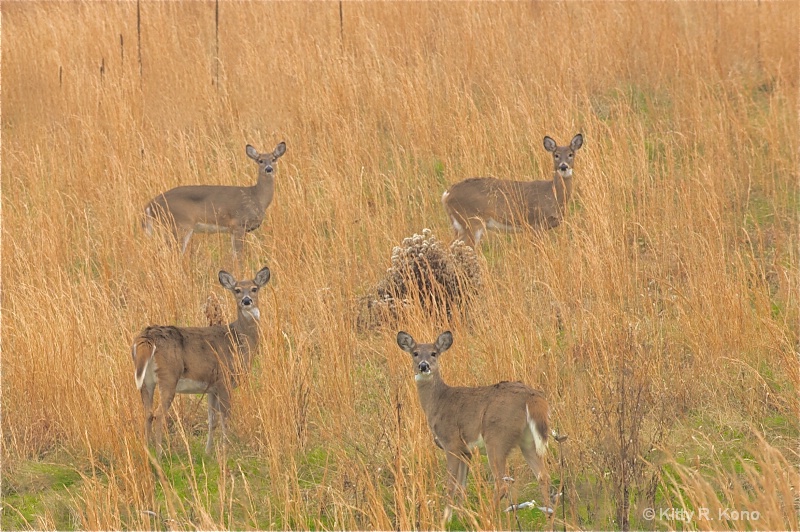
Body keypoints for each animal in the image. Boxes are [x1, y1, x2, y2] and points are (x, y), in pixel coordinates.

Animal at [130, 264, 270, 456]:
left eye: (254, 288)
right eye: (237, 290)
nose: (247, 301)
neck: (239, 339)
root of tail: (147, 337)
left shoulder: (212, 387)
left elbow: (212, 421)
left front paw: (208, 452)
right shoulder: (225, 379)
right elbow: (225, 419)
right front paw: (226, 450)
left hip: (146, 380)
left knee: (147, 413)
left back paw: (147, 452)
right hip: (168, 376)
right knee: (159, 414)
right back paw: (159, 454)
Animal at [144, 141, 288, 258]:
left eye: (274, 159)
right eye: (260, 160)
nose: (268, 169)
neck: (256, 197)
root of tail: (151, 204)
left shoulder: (233, 230)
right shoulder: (239, 224)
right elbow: (239, 257)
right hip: (180, 224)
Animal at [398, 330, 552, 524]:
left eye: (434, 353)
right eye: (415, 353)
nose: (423, 366)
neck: (438, 402)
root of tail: (531, 397)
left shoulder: (451, 443)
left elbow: (451, 485)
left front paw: (444, 520)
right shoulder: (466, 451)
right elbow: (462, 486)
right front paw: (460, 517)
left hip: (496, 437)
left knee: (502, 483)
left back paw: (489, 516)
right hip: (527, 440)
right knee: (543, 476)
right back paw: (549, 516)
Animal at [440, 134, 584, 248]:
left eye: (571, 154)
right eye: (556, 155)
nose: (563, 166)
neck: (553, 194)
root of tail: (447, 194)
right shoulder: (536, 223)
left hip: (459, 225)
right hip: (472, 221)